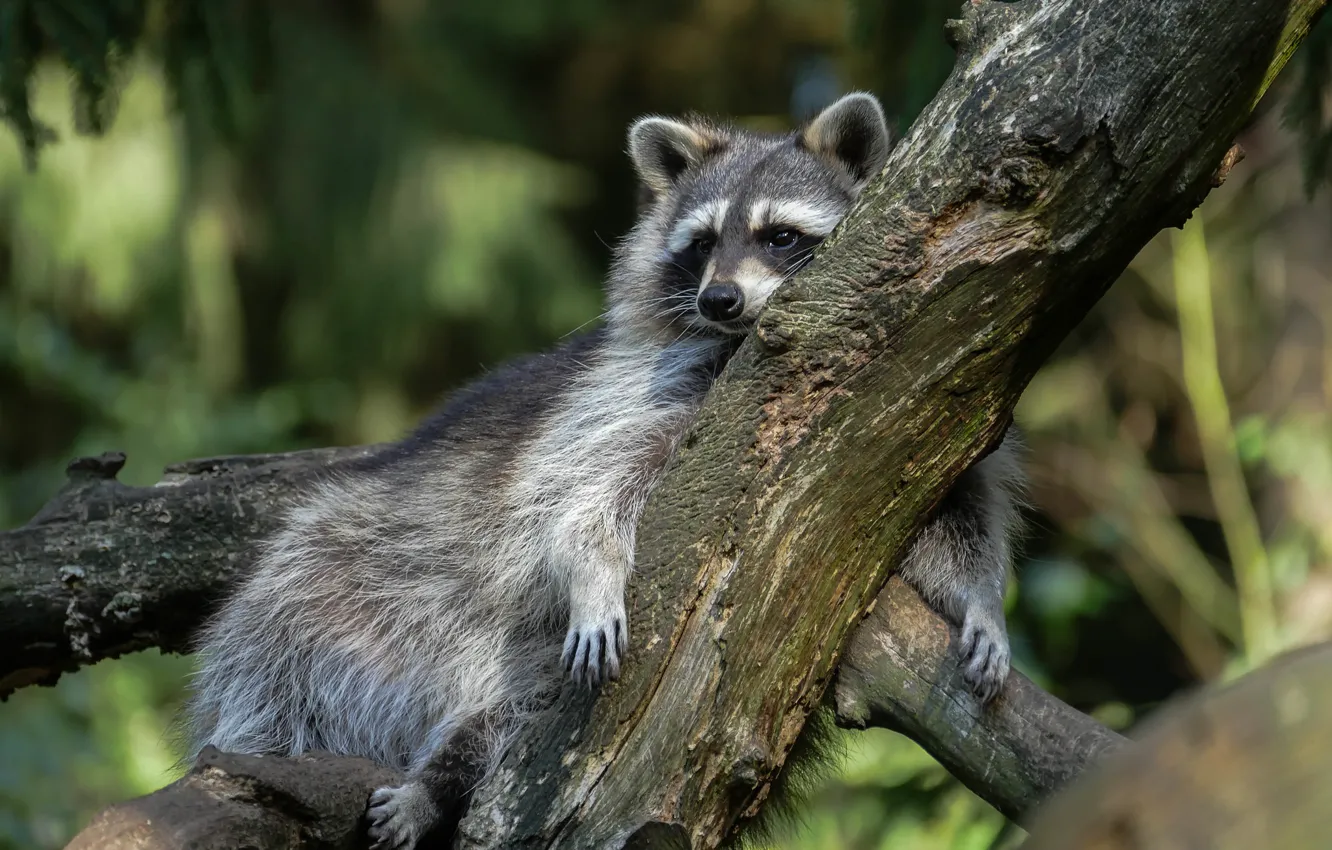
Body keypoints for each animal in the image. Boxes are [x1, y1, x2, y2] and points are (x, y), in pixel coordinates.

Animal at [184, 92, 1024, 850]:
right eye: (701, 243)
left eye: (780, 236)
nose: (720, 300)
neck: (742, 347)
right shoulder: (629, 398)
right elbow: (583, 493)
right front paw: (593, 568)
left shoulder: (906, 419)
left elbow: (954, 519)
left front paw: (980, 601)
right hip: (321, 594)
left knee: (502, 720)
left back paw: (444, 777)